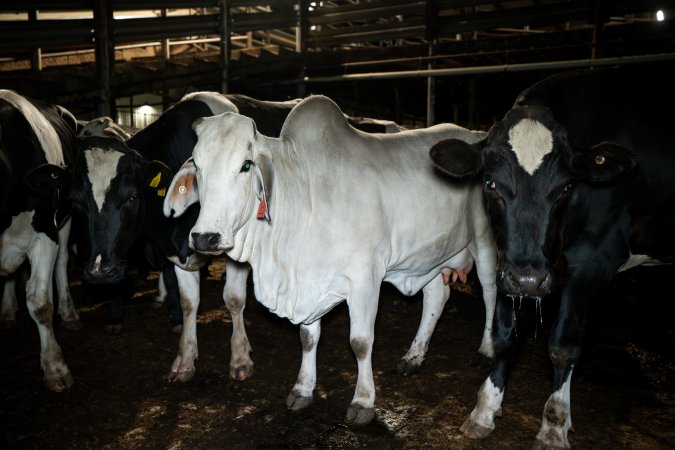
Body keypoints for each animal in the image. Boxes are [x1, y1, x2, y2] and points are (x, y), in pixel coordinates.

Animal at [0, 89, 81, 390]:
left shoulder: (45, 231)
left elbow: (40, 303)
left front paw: (55, 366)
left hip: (65, 217)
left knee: (62, 263)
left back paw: (69, 313)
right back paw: (7, 312)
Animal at [69, 93, 302, 382]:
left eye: (132, 197)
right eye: (77, 202)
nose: (101, 270)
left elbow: (234, 299)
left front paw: (240, 357)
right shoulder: (179, 253)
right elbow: (188, 302)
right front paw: (185, 359)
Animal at [164, 95, 496, 426]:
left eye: (246, 165)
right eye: (197, 165)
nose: (205, 238)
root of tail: (475, 136)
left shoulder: (365, 280)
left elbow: (360, 342)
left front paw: (363, 401)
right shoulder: (309, 280)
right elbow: (308, 337)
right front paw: (302, 389)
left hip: (484, 241)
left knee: (491, 293)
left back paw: (486, 351)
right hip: (431, 255)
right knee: (436, 296)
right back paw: (413, 357)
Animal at [430, 65, 675, 448]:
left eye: (566, 187)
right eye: (489, 182)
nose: (530, 280)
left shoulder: (593, 262)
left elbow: (563, 345)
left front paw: (554, 424)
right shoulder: (508, 263)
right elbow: (506, 335)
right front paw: (485, 409)